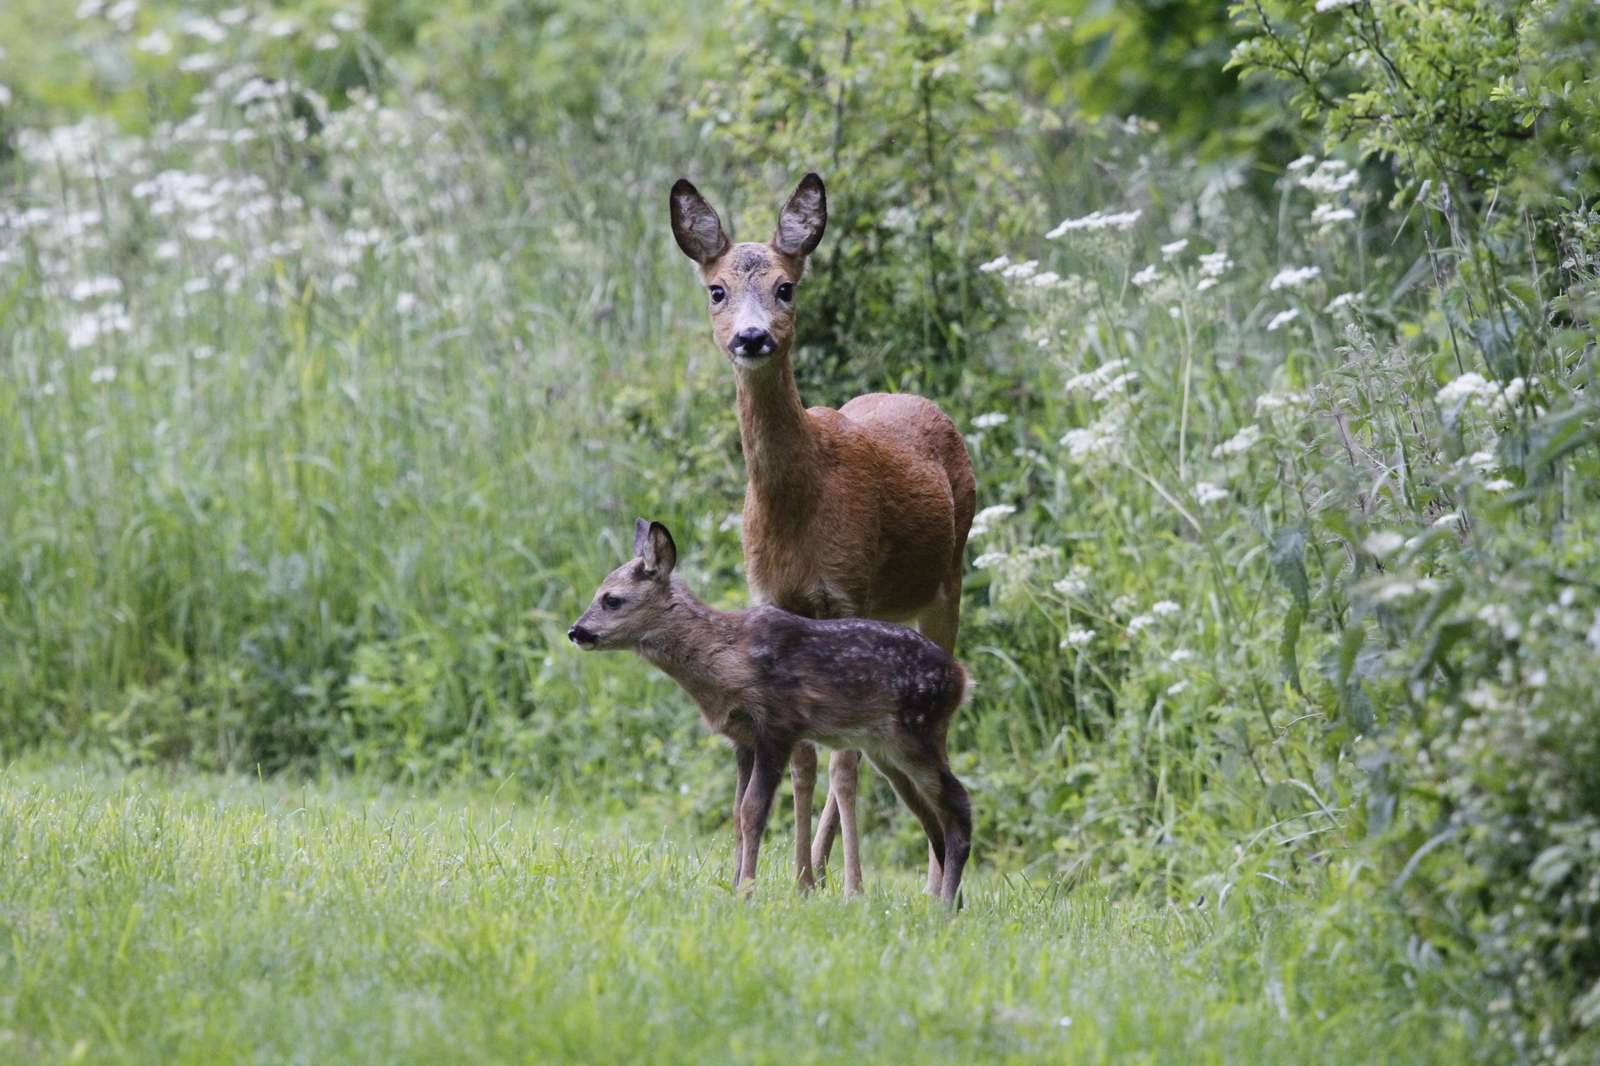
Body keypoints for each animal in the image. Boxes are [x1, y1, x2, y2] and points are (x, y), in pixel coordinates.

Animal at [576, 518, 972, 902]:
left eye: (612, 600)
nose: (575, 631)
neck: (728, 658)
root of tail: (962, 677)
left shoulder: (778, 725)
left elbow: (753, 811)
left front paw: (747, 892)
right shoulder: (742, 738)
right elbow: (736, 813)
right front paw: (735, 885)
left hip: (918, 731)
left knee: (959, 805)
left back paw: (946, 906)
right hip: (886, 751)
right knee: (933, 816)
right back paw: (949, 901)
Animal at [665, 170, 972, 889]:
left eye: (786, 287)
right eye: (717, 290)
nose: (752, 338)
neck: (795, 510)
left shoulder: (845, 588)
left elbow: (842, 765)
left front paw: (851, 886)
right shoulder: (773, 596)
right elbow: (806, 759)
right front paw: (801, 878)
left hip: (947, 580)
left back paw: (916, 877)